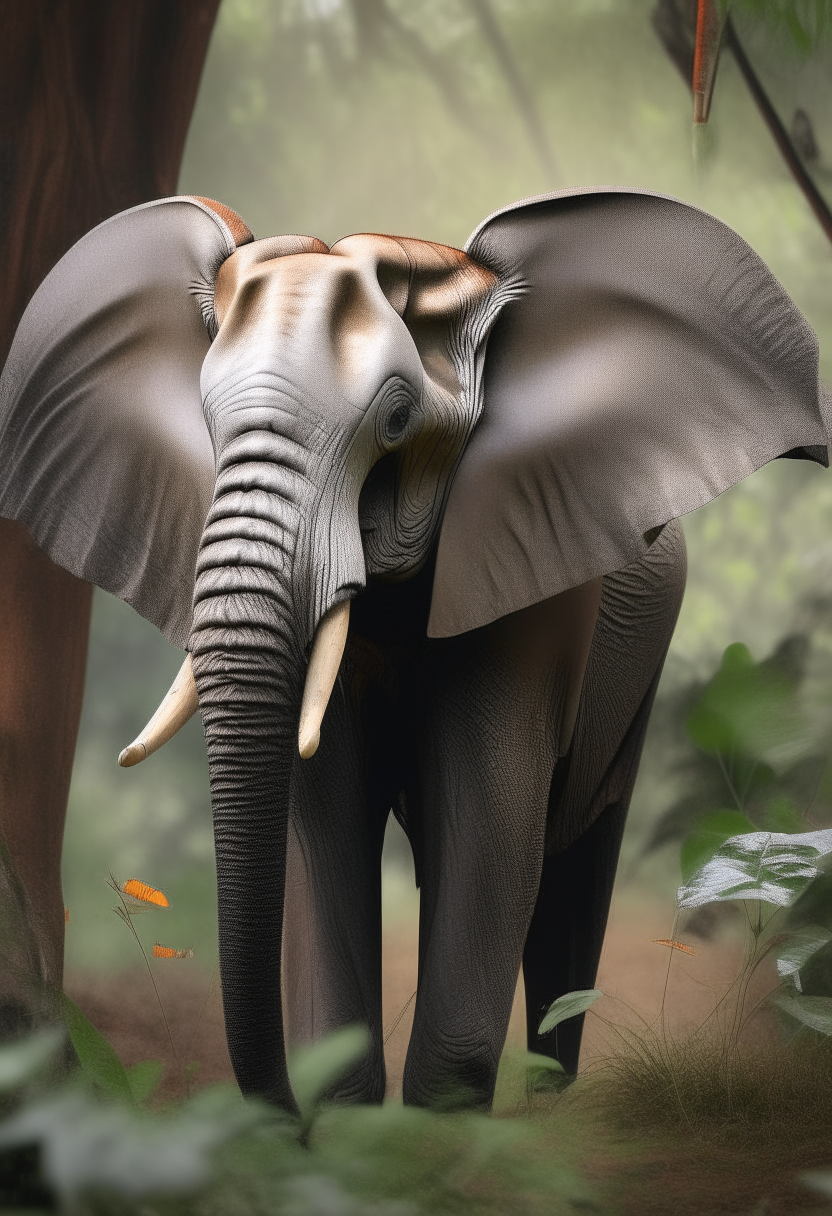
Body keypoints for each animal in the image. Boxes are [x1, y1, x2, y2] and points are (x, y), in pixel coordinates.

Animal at [0, 184, 827, 1108]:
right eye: (205, 423)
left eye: (397, 420)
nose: (283, 1120)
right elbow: (327, 809)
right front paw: (354, 1118)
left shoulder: (531, 572)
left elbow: (491, 806)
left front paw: (444, 1125)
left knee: (573, 851)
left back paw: (551, 1096)